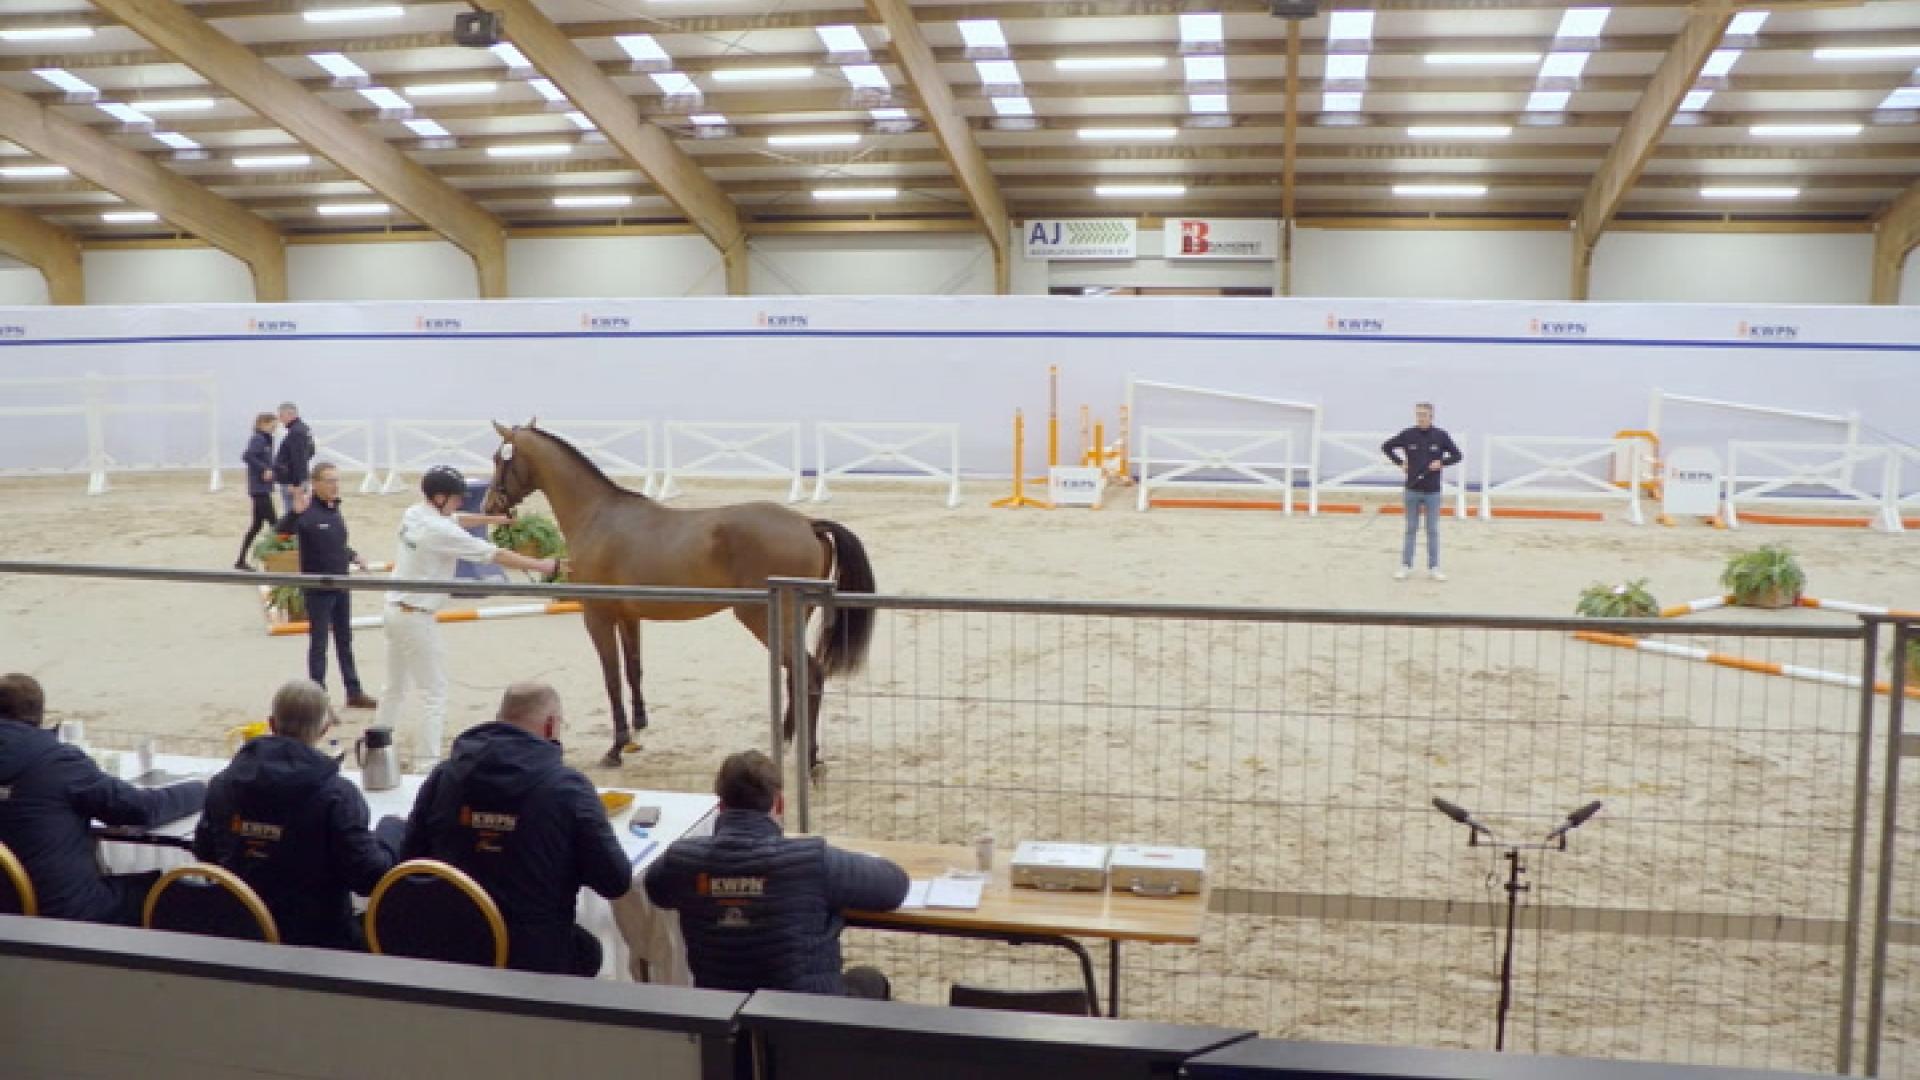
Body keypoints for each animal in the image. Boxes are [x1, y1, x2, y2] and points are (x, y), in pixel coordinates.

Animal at [481, 420, 875, 769]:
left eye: (500, 459)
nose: (488, 507)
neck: (598, 515)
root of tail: (808, 523)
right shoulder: (628, 617)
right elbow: (634, 670)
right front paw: (639, 728)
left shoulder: (598, 616)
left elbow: (612, 678)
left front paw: (616, 747)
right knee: (797, 676)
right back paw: (790, 739)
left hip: (763, 619)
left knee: (810, 675)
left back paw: (810, 756)